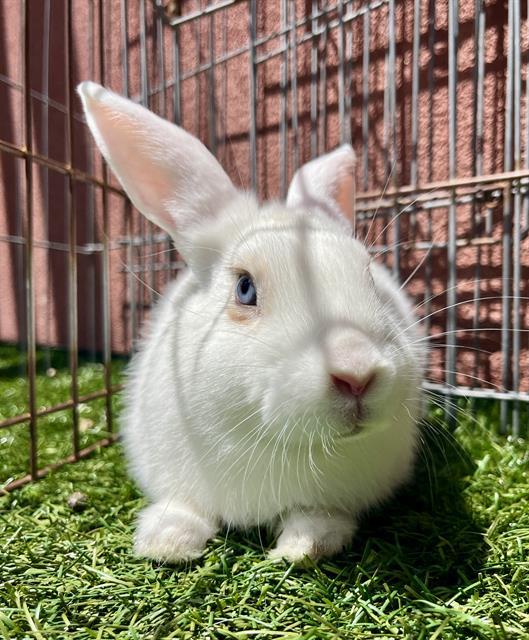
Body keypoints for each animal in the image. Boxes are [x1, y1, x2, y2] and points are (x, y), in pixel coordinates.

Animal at [78, 81, 426, 563]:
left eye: (369, 274)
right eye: (245, 288)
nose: (357, 373)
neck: (272, 440)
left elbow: (316, 517)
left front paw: (302, 547)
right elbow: (185, 507)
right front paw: (166, 543)